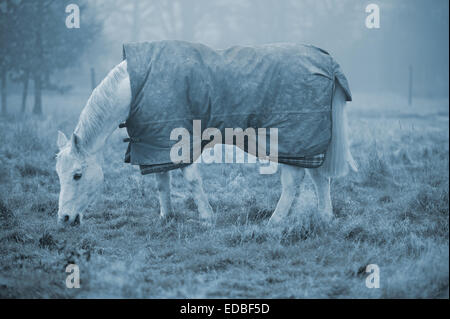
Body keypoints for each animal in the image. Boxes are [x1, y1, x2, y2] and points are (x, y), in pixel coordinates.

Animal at [54, 58, 356, 226]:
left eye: (77, 175)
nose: (64, 218)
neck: (135, 87)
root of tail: (328, 64)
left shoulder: (177, 140)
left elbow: (190, 179)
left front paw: (207, 218)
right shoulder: (155, 142)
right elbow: (161, 181)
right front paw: (166, 216)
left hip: (292, 138)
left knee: (293, 181)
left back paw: (276, 221)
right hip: (309, 141)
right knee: (319, 177)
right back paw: (325, 217)